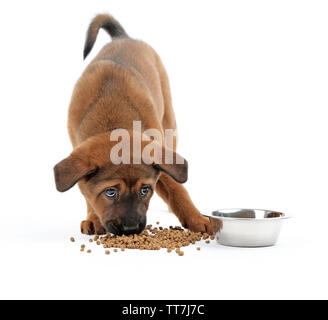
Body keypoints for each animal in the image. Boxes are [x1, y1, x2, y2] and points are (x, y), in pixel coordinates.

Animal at [53, 14, 213, 235]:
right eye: (110, 192)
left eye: (145, 190)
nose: (130, 229)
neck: (113, 122)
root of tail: (123, 37)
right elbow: (88, 194)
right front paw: (93, 218)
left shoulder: (159, 153)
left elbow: (176, 188)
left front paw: (197, 219)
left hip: (169, 122)